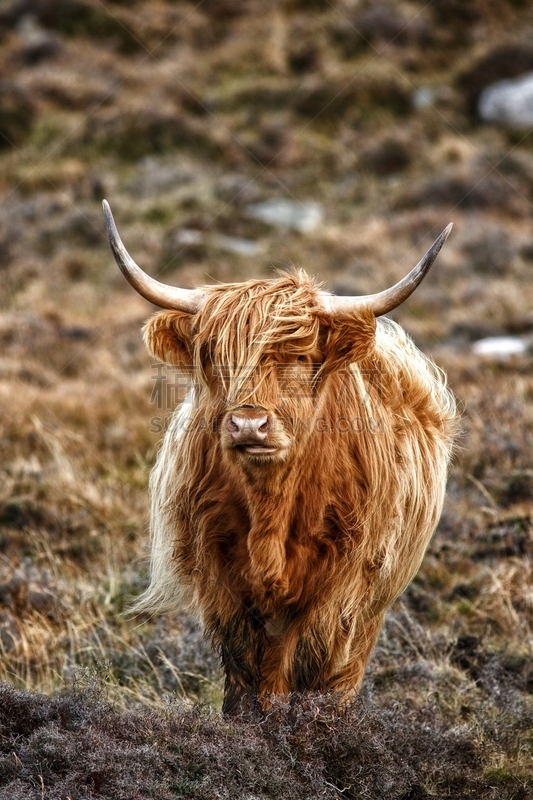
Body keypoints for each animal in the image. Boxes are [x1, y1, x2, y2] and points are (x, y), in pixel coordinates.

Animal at [105, 200, 458, 712]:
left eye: (300, 357)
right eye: (215, 358)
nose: (249, 424)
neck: (271, 507)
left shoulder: (340, 587)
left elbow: (303, 667)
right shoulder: (221, 581)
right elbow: (247, 671)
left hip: (376, 600)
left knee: (344, 671)